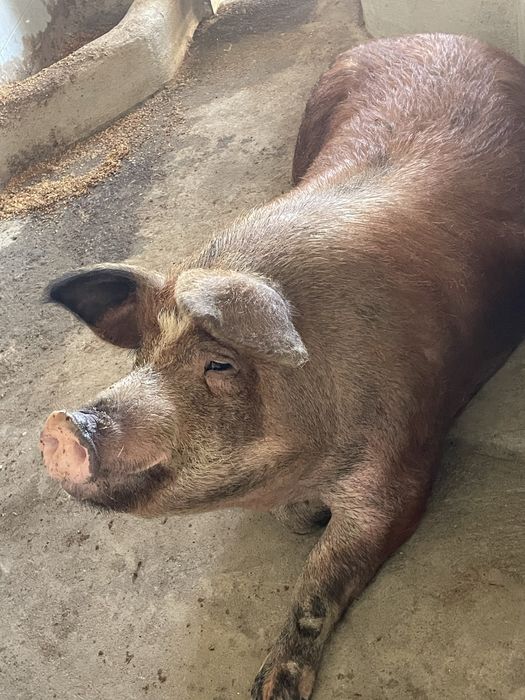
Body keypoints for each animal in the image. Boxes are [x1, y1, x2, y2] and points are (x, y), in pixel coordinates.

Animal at [40, 33, 525, 700]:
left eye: (220, 364)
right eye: (143, 354)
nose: (64, 425)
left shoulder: (401, 463)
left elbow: (320, 580)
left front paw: (271, 689)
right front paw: (304, 518)